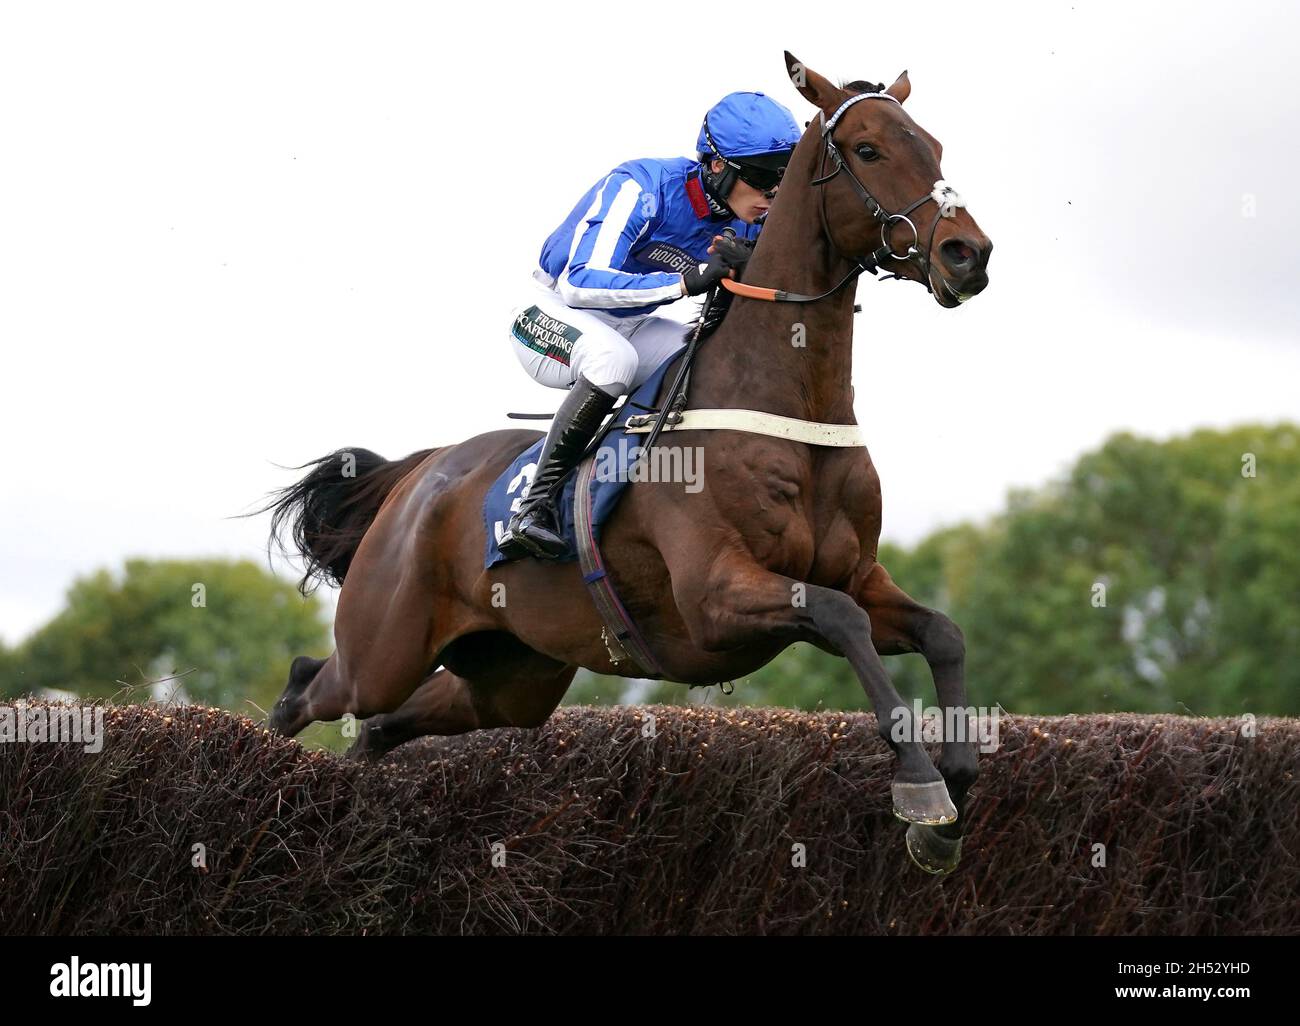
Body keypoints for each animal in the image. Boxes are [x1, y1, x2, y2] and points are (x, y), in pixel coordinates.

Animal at [263, 53, 993, 873]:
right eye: (868, 149)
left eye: (934, 146)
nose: (968, 254)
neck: (788, 410)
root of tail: (421, 476)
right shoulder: (715, 596)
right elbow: (841, 619)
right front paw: (920, 787)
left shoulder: (861, 574)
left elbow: (940, 631)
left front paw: (955, 785)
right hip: (385, 644)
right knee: (313, 689)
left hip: (512, 674)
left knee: (383, 726)